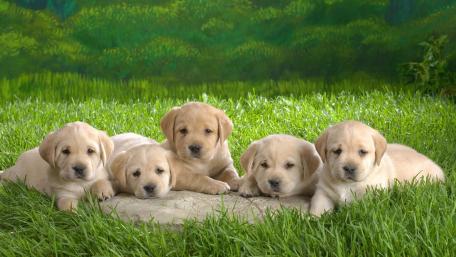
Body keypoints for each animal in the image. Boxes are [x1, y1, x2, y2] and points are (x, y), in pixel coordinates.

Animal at [308, 120, 444, 216]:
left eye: (362, 152)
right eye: (337, 151)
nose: (349, 168)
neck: (348, 184)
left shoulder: (372, 195)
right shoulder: (323, 192)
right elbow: (318, 207)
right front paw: (312, 220)